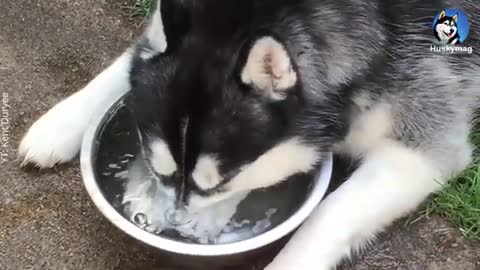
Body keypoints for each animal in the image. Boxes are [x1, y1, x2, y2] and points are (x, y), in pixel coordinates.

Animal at [18, 0, 480, 268]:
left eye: (219, 183)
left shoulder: (421, 141)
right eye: (159, 170)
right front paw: (61, 122)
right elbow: (133, 57)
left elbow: (326, 216)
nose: (175, 227)